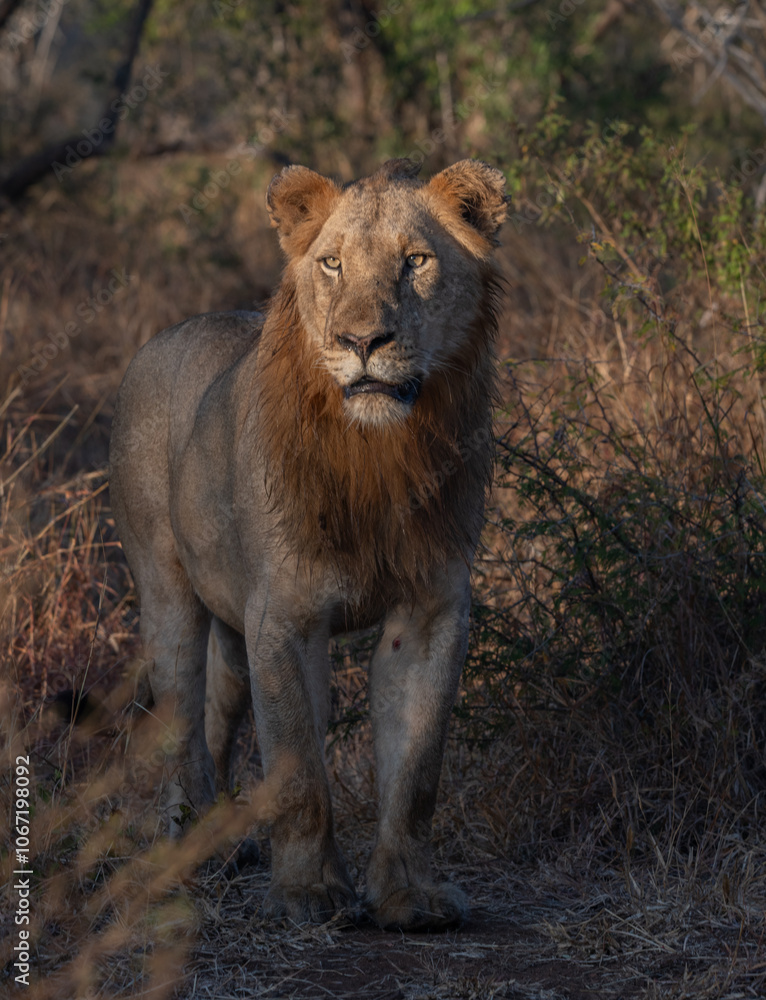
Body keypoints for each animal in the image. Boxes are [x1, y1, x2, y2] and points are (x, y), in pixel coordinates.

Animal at [109, 158, 507, 931]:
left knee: (216, 713)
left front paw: (410, 895)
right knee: (179, 721)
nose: (363, 343)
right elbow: (298, 770)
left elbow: (416, 771)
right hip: (166, 590)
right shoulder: (286, 618)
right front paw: (310, 894)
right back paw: (191, 848)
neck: (378, 455)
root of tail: (164, 334)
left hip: (233, 632)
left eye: (416, 262)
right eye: (332, 263)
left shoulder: (431, 612)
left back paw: (224, 835)